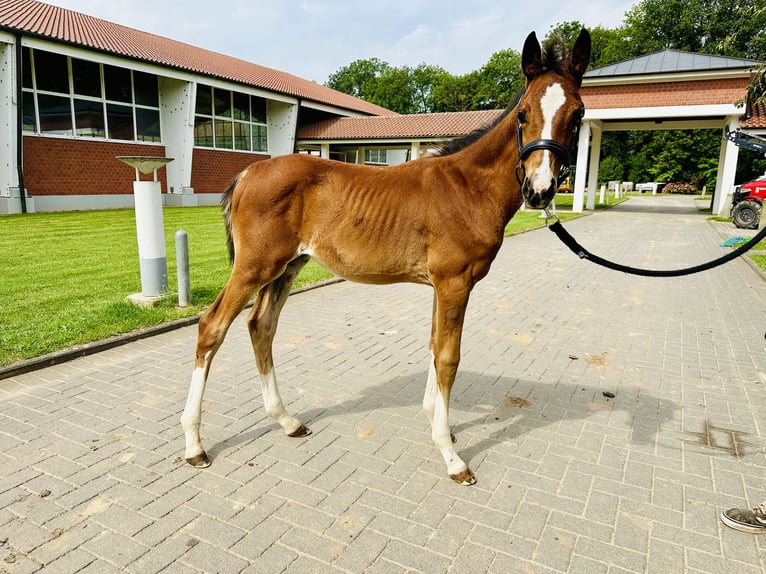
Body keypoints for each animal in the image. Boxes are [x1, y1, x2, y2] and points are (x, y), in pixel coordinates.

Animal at [181, 29, 591, 485]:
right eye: (522, 113)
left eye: (578, 114)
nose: (540, 190)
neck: (468, 187)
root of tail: (246, 173)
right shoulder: (455, 281)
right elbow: (449, 356)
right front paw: (451, 455)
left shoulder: (442, 284)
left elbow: (434, 345)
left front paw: (436, 421)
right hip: (255, 266)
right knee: (212, 326)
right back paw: (195, 445)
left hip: (287, 266)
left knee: (261, 325)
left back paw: (287, 421)